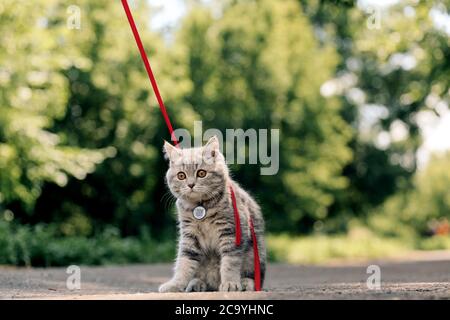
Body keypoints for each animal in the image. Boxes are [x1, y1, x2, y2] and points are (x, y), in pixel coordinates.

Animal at [158, 136, 266, 292]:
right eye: (181, 176)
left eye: (201, 173)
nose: (191, 184)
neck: (201, 206)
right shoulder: (189, 235)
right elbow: (184, 262)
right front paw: (175, 284)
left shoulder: (232, 231)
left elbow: (230, 261)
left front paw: (230, 283)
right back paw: (197, 283)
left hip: (255, 255)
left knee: (254, 277)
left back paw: (245, 283)